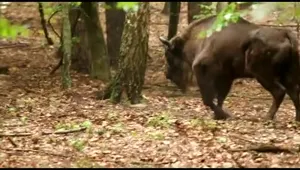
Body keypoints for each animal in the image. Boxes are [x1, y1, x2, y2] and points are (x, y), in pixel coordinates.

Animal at [159, 14, 300, 121]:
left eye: (168, 55)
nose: (167, 74)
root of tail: (285, 34)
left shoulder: (201, 68)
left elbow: (208, 98)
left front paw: (224, 115)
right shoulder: (227, 77)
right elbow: (220, 97)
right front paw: (218, 116)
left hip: (262, 74)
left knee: (279, 92)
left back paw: (267, 117)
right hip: (286, 75)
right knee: (294, 92)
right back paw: (296, 119)